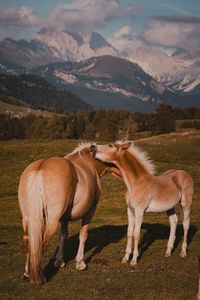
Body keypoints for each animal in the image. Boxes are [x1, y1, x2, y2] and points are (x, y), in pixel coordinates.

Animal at [18, 143, 119, 284]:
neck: (88, 163)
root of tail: (40, 168)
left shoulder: (65, 217)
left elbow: (63, 235)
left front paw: (60, 261)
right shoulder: (90, 212)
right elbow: (83, 235)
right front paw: (80, 263)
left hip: (27, 219)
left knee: (29, 241)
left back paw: (28, 272)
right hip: (51, 221)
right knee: (41, 243)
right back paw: (40, 277)